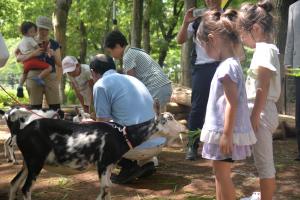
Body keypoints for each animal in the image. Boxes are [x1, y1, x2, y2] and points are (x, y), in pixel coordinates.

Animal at [4, 108, 183, 200]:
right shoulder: (103, 164)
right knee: (26, 189)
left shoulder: (109, 165)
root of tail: (21, 132)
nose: (183, 128)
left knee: (14, 184)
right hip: (35, 161)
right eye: (169, 119)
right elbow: (104, 190)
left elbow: (108, 189)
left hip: (28, 162)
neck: (121, 135)